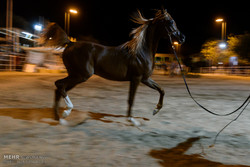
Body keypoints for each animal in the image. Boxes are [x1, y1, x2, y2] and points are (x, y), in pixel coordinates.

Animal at [42, 8, 185, 125]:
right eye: (170, 21)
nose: (182, 37)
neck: (141, 52)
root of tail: (70, 43)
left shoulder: (144, 79)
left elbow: (161, 90)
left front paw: (155, 110)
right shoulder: (136, 78)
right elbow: (131, 99)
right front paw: (132, 120)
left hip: (76, 76)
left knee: (59, 88)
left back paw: (58, 118)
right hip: (80, 75)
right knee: (59, 85)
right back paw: (66, 112)